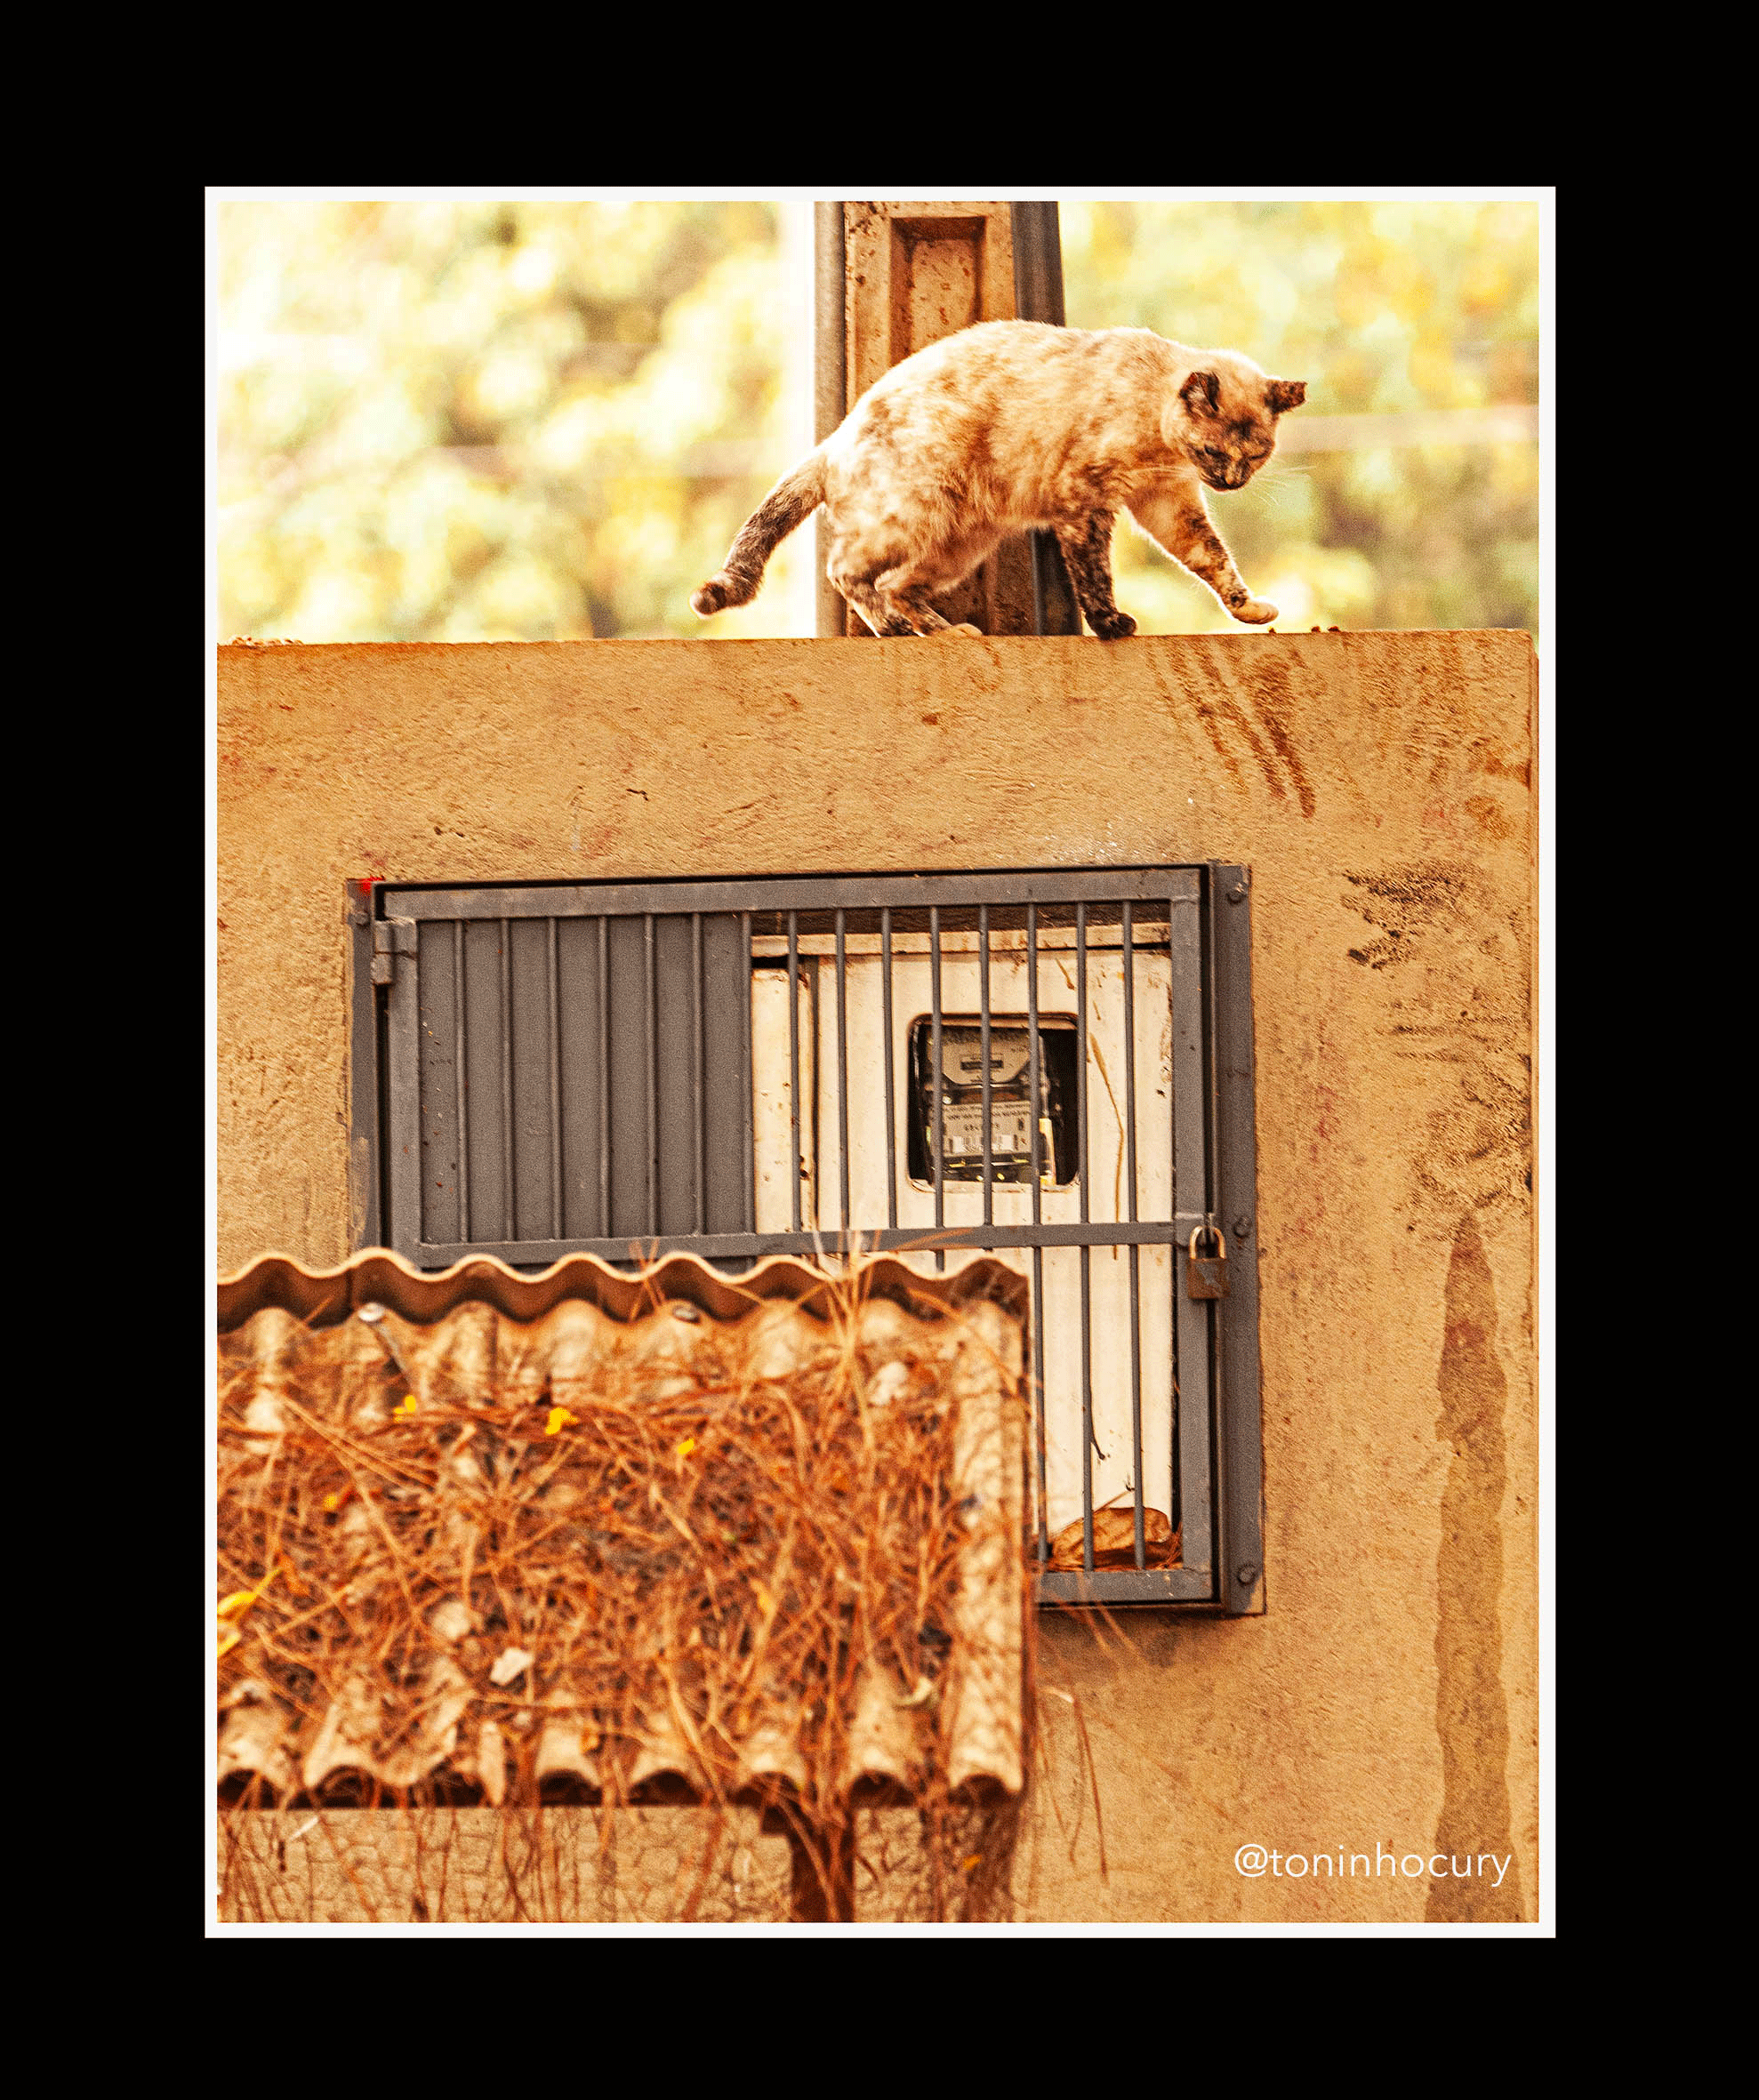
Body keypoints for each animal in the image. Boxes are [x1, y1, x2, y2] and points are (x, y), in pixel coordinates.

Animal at [689, 315, 1303, 634]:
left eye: (1256, 456)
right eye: (1213, 451)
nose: (1232, 482)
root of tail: (833, 440)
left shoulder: (1167, 503)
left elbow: (1213, 559)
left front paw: (1249, 609)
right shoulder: (1084, 504)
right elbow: (1094, 578)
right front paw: (1110, 625)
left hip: (958, 544)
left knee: (895, 585)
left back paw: (943, 632)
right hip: (914, 518)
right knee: (847, 571)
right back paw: (895, 628)